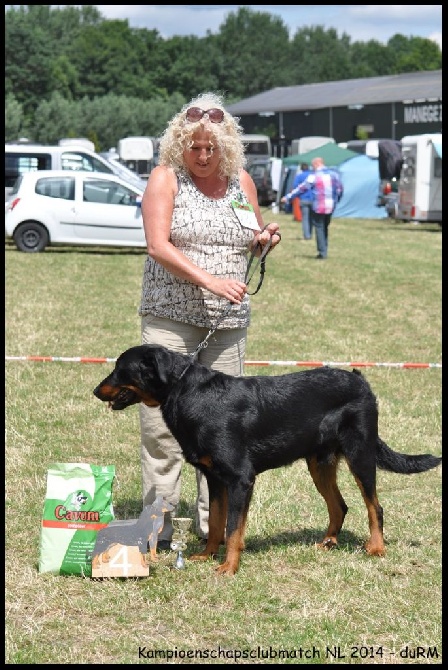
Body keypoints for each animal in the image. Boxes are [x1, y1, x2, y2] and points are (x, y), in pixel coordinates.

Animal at [93, 346, 440, 576]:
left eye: (121, 368)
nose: (96, 390)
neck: (188, 394)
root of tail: (362, 381)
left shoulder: (239, 478)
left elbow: (233, 527)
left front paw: (229, 567)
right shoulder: (214, 477)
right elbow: (216, 523)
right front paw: (207, 556)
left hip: (360, 454)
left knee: (374, 506)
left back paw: (376, 548)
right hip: (319, 462)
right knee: (339, 505)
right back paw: (328, 542)